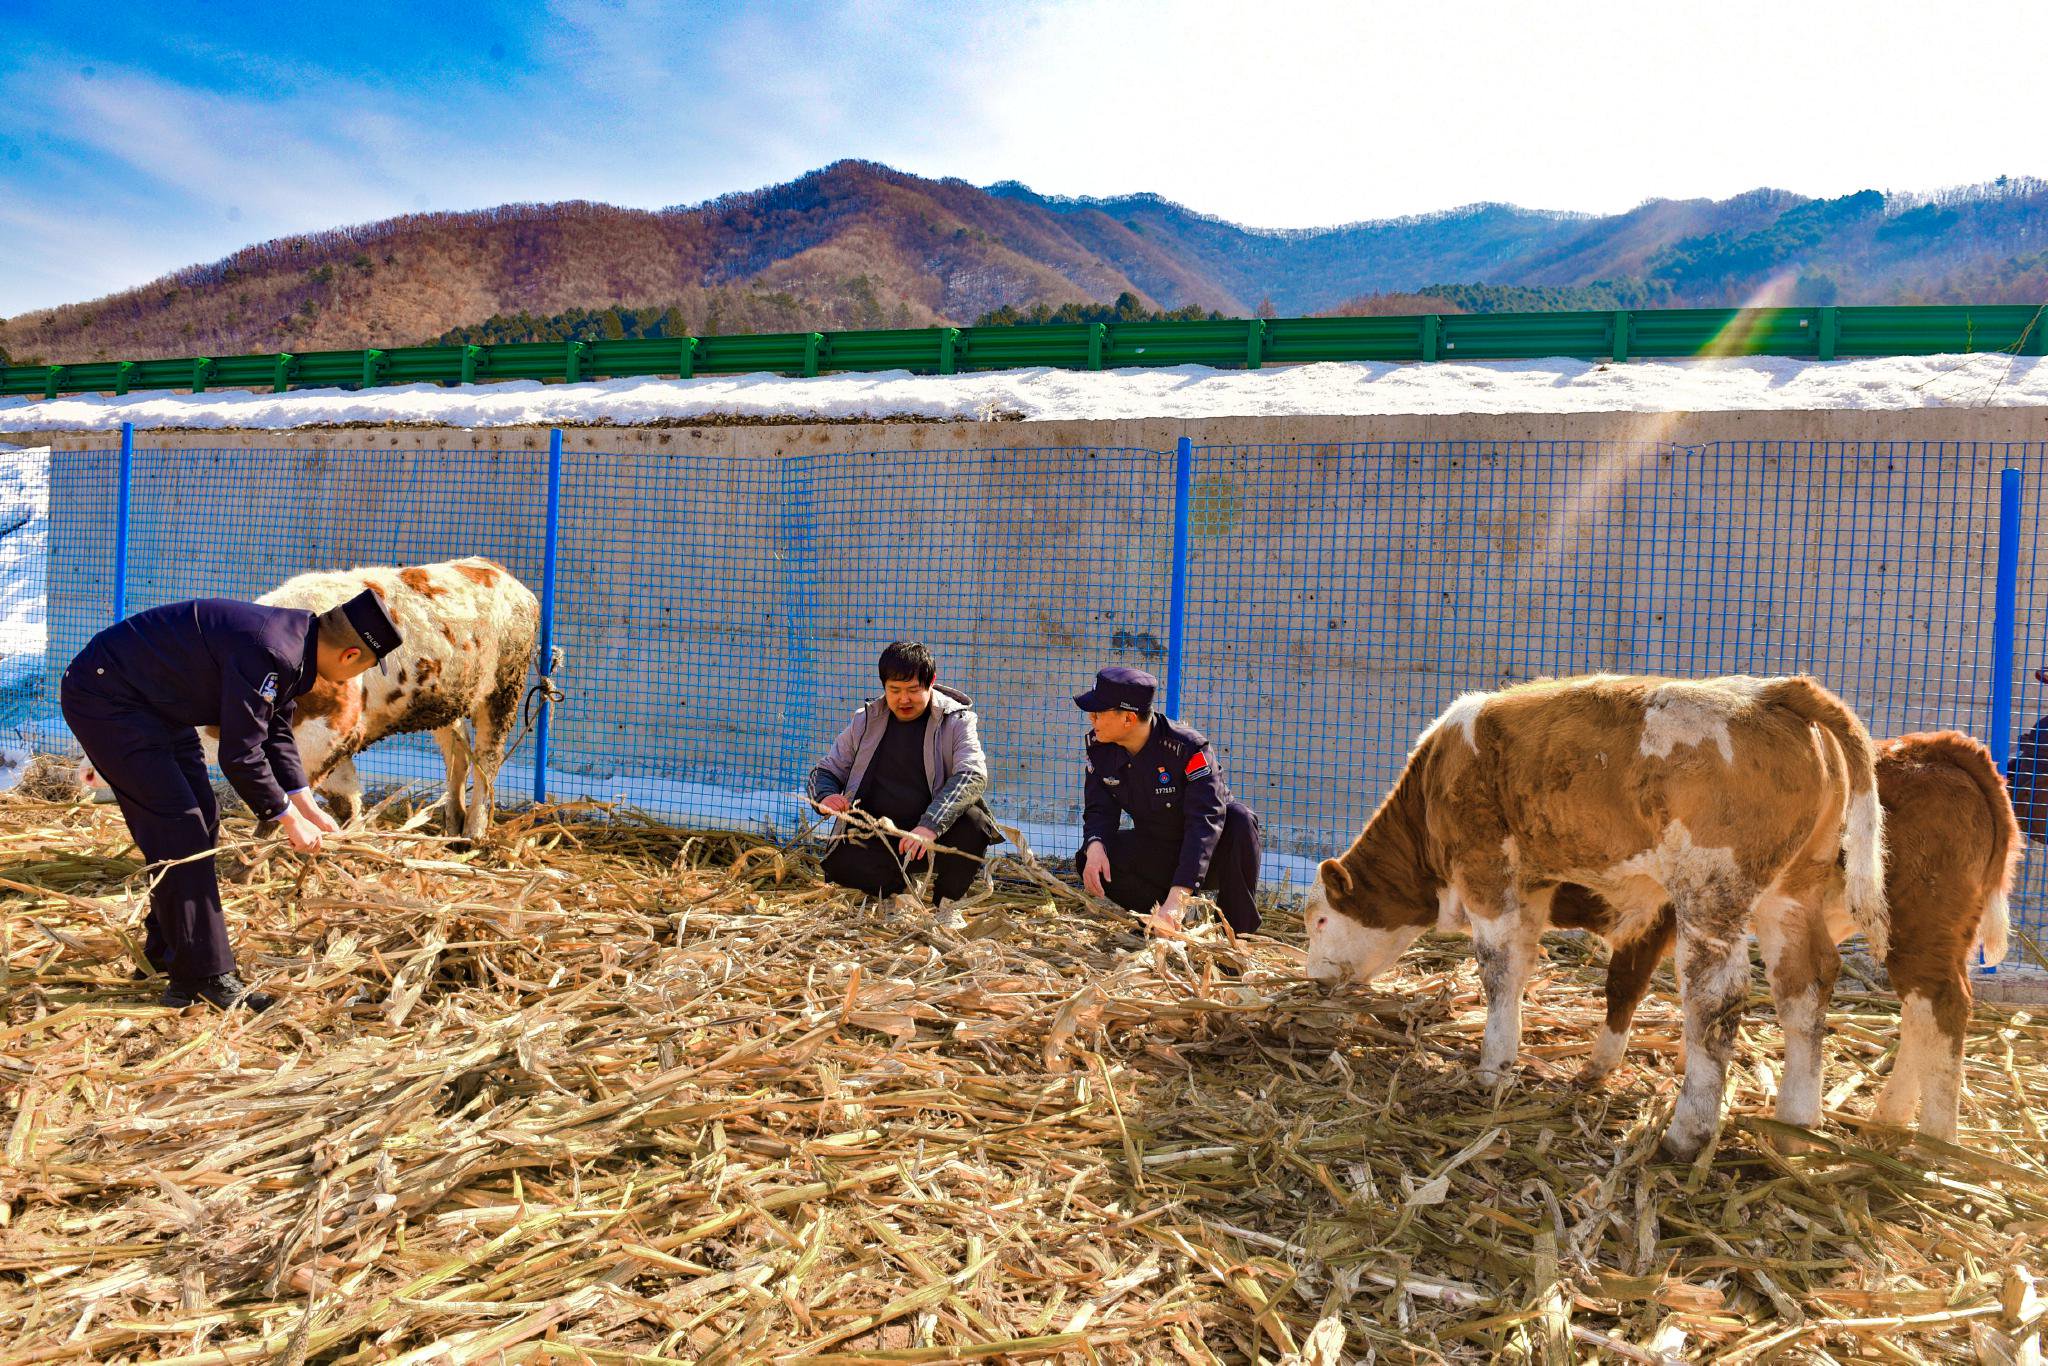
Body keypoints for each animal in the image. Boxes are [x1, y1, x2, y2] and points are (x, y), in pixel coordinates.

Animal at [1548, 733, 2015, 1146]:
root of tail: (1936, 746)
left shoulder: (1655, 917)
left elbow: (1623, 987)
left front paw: (1599, 1066)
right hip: (1942, 935)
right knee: (1924, 1013)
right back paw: (1889, 1118)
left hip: (1919, 922)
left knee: (1941, 1007)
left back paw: (1933, 1141)